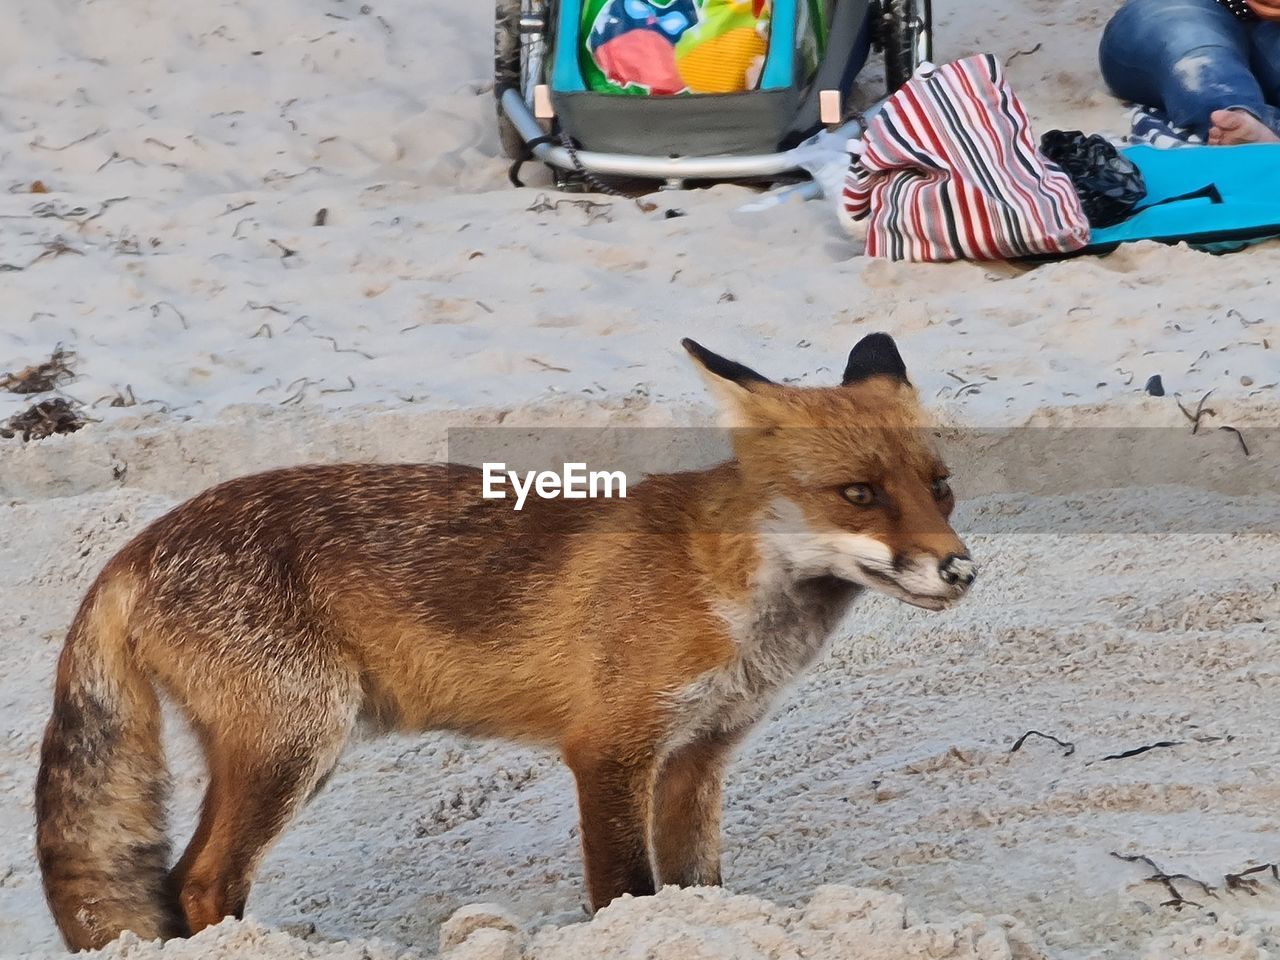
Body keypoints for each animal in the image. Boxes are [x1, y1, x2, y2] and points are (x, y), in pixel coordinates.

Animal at [35, 335, 972, 952]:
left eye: (940, 489)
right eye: (858, 494)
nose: (961, 569)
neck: (730, 598)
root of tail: (136, 544)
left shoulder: (697, 755)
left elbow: (694, 889)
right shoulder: (610, 749)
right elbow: (625, 891)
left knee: (179, 881)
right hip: (293, 743)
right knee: (199, 880)